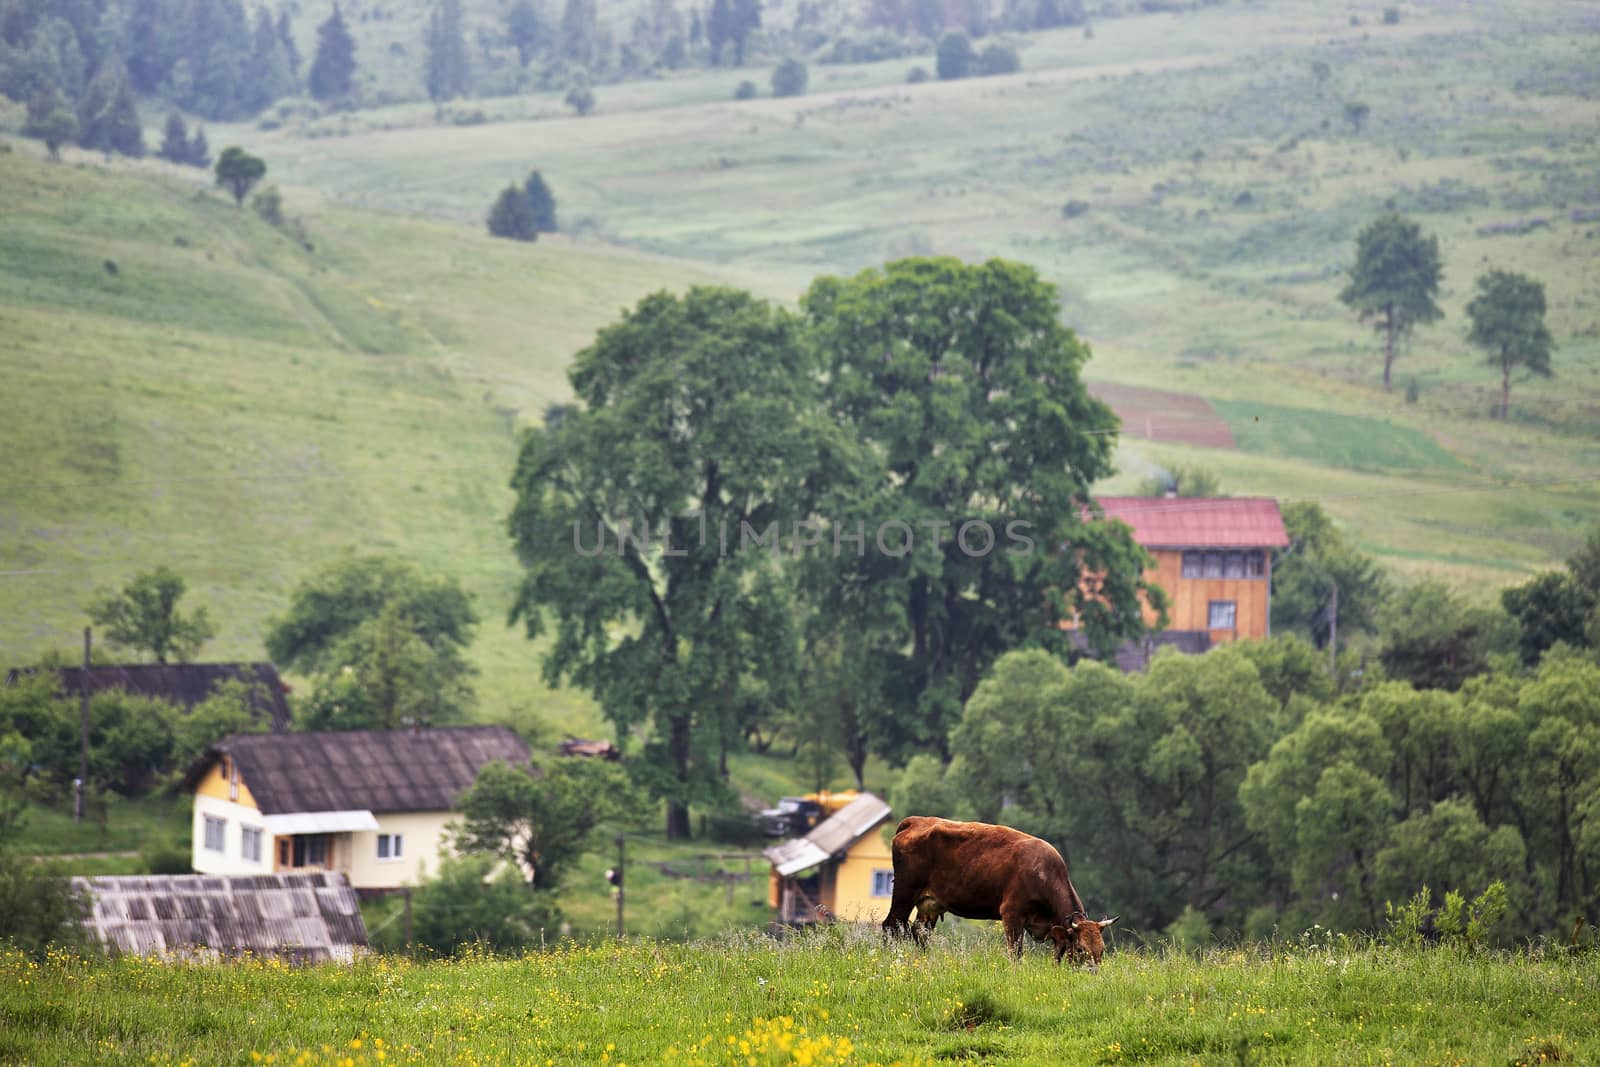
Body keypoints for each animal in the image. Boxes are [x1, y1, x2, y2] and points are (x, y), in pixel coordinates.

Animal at [883, 819, 1120, 966]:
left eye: (1102, 950)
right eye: (1080, 949)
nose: (1093, 974)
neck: (1045, 874)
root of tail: (915, 820)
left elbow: (1057, 954)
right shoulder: (1012, 914)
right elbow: (1015, 952)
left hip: (930, 903)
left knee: (920, 931)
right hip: (905, 892)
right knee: (891, 926)